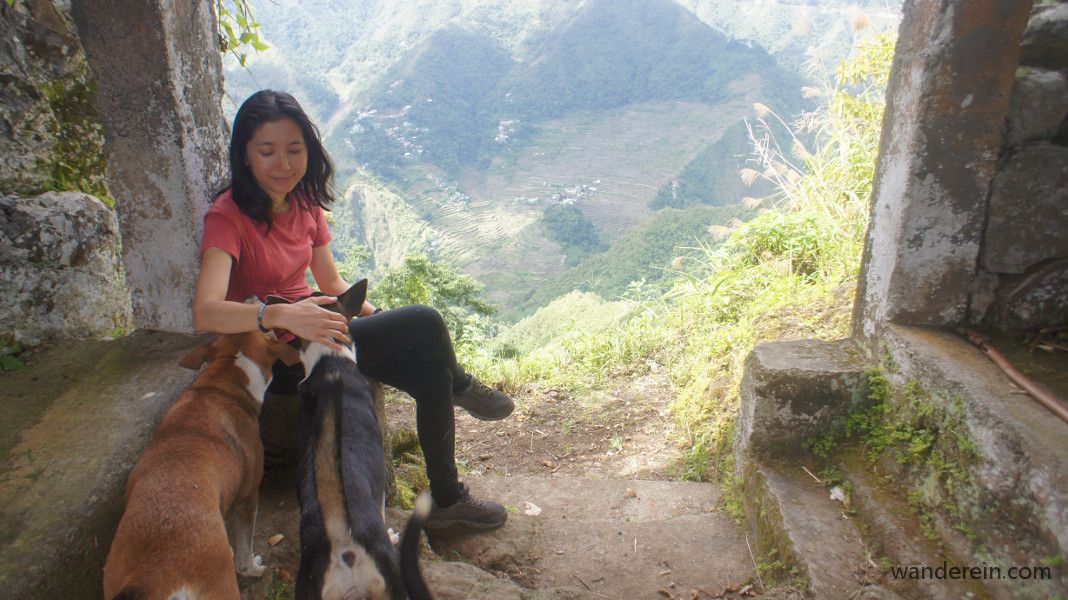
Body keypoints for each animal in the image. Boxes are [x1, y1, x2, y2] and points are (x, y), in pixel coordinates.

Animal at [102, 326, 301, 597]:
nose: (267, 324)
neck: (224, 377)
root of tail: (149, 578)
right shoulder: (248, 495)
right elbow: (245, 549)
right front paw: (253, 568)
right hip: (221, 586)